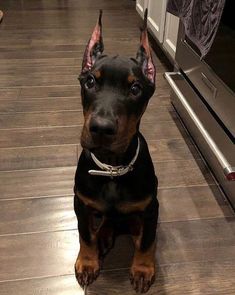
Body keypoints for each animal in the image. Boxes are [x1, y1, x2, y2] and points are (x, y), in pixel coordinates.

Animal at [74, 9, 158, 295]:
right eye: (90, 81)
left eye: (135, 88)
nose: (101, 128)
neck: (112, 168)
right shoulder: (81, 203)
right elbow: (84, 234)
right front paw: (87, 262)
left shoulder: (151, 207)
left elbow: (147, 241)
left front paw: (142, 269)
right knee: (104, 222)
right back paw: (103, 237)